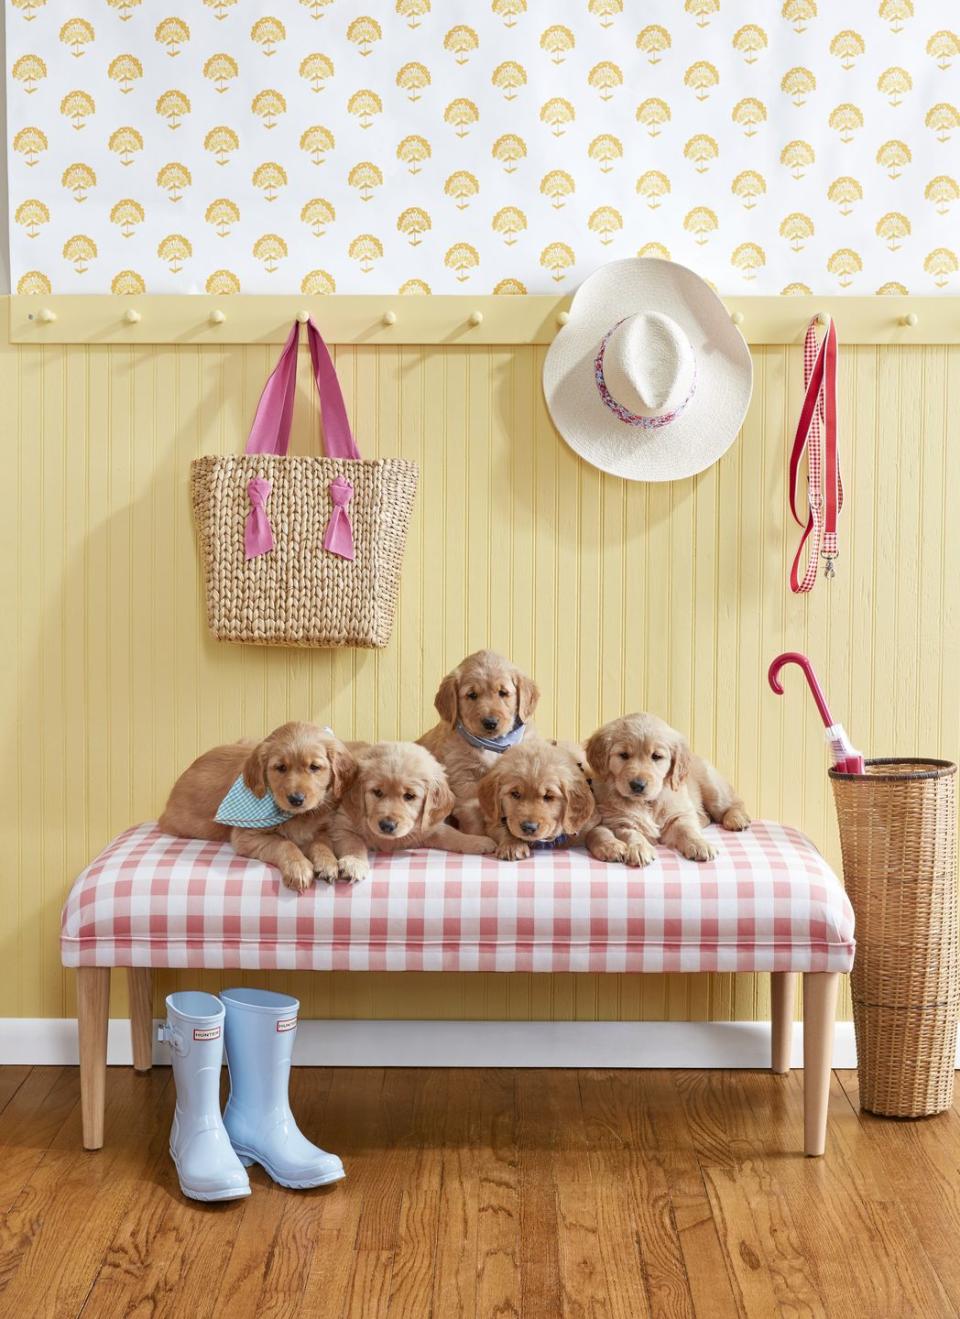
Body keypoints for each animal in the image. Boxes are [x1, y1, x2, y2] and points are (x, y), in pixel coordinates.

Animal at [159, 722, 358, 896]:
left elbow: (321, 843)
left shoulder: (323, 828)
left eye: (315, 767)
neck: (297, 816)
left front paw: (327, 862)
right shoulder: (246, 836)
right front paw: (299, 867)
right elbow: (284, 843)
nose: (296, 799)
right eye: (280, 767)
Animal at [329, 749, 495, 881]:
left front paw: (479, 841)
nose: (387, 825)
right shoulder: (343, 826)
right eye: (377, 792)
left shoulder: (428, 827)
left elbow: (452, 835)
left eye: (409, 796)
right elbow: (354, 844)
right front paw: (354, 863)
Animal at [419, 648, 540, 833]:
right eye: (472, 695)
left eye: (503, 693)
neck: (492, 744)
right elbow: (474, 817)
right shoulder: (464, 781)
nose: (490, 722)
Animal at [585, 712, 749, 865]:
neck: (647, 803)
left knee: (733, 804)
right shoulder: (617, 822)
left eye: (656, 756)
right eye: (623, 755)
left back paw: (737, 819)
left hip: (713, 788)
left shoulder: (679, 813)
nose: (637, 785)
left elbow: (687, 829)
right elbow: (631, 833)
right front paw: (639, 848)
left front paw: (700, 844)